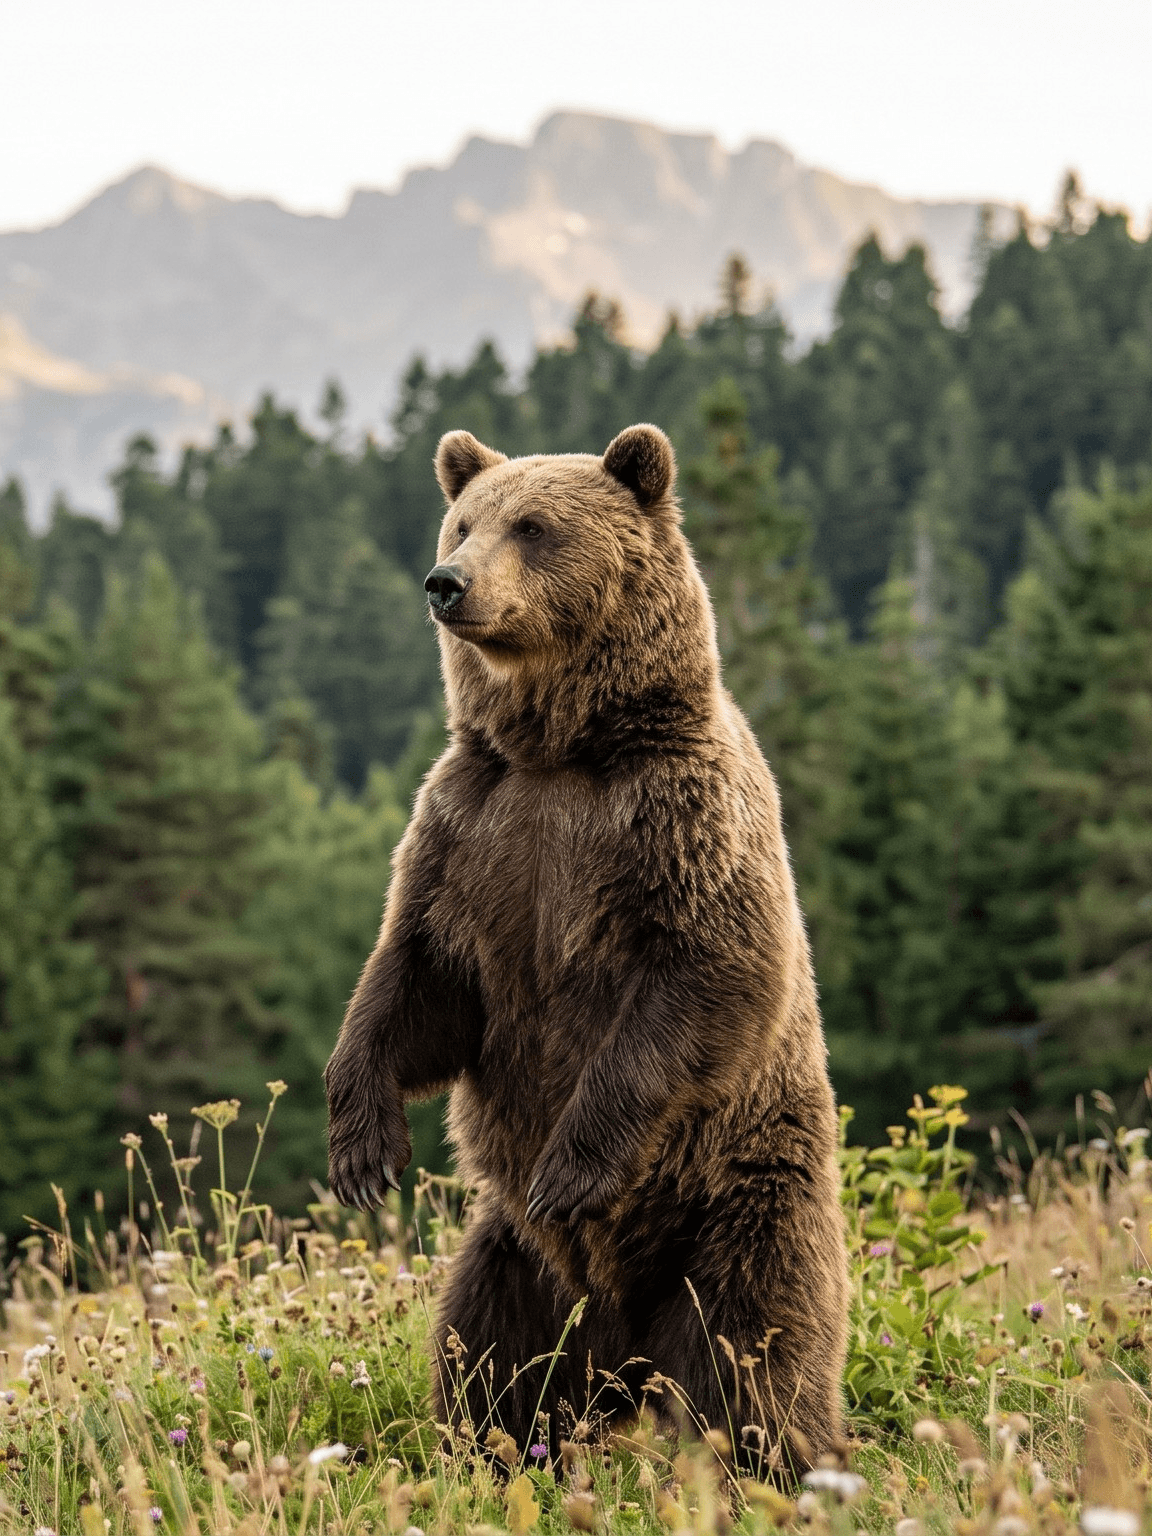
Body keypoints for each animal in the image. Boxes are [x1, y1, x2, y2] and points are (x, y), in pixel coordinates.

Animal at [324, 423, 848, 1471]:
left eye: (533, 527)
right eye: (463, 521)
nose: (447, 583)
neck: (561, 752)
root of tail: (624, 1362)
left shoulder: (675, 823)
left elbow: (706, 979)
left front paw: (572, 1168)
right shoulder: (469, 835)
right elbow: (416, 982)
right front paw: (363, 1149)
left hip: (738, 1204)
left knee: (754, 1347)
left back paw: (774, 1463)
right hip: (512, 1256)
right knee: (487, 1350)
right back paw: (488, 1453)